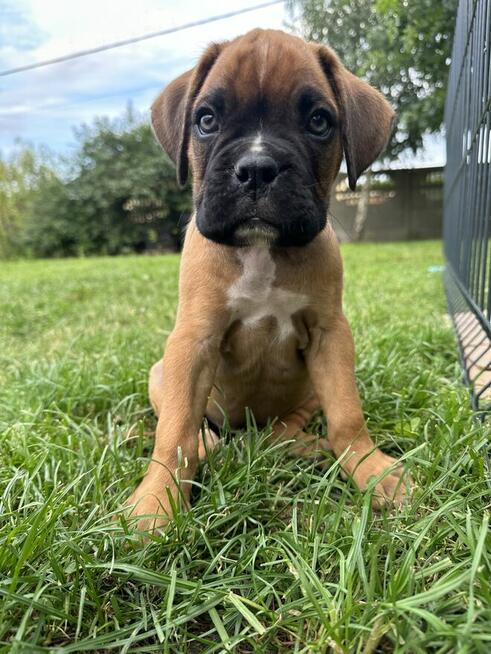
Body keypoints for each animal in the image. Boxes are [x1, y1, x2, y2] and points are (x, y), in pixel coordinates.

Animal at [127, 28, 412, 536]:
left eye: (319, 121)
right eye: (206, 119)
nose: (257, 168)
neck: (262, 251)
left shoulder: (330, 336)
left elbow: (347, 415)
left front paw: (373, 470)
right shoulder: (192, 341)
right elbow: (174, 430)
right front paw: (156, 502)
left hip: (307, 391)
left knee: (289, 426)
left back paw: (297, 443)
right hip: (160, 371)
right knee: (187, 424)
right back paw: (210, 443)